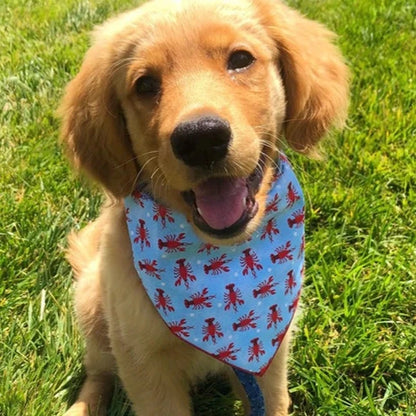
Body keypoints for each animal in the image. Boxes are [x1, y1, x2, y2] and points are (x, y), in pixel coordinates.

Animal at [60, 0, 350, 416]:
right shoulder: (143, 362)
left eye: (241, 59)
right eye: (144, 84)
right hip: (93, 309)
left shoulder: (269, 352)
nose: (200, 139)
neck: (216, 258)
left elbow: (273, 401)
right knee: (99, 374)